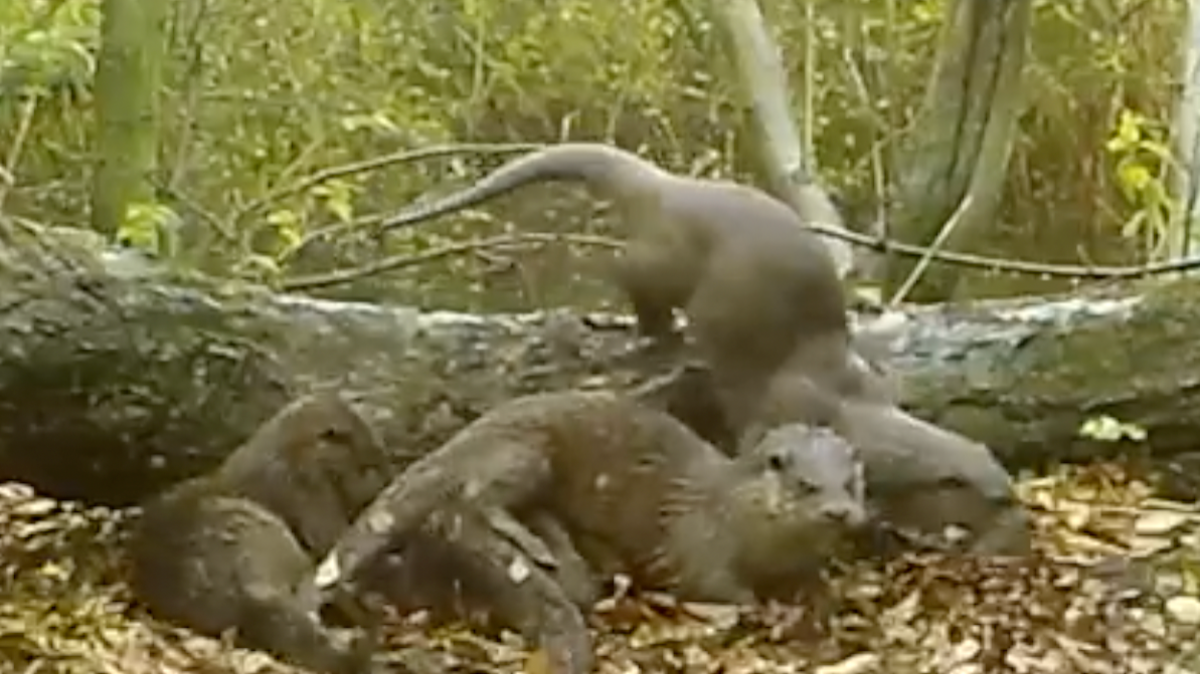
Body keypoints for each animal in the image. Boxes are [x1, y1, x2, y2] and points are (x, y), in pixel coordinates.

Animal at [296, 388, 868, 614]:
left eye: (851, 483)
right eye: (806, 485)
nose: (842, 513)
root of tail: (470, 432)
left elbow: (814, 581)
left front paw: (821, 595)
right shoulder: (696, 546)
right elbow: (714, 584)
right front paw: (760, 605)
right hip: (526, 453)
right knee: (478, 495)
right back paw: (533, 543)